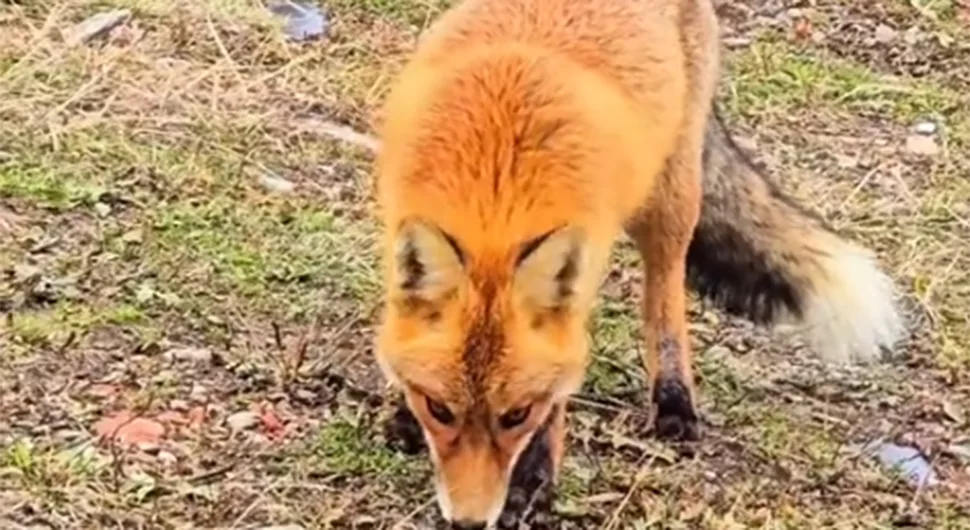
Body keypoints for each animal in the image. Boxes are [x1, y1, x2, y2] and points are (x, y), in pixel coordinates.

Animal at [368, 0, 900, 520]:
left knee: (665, 297)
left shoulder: (580, 280)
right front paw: (406, 414)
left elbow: (558, 393)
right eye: (439, 409)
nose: (469, 520)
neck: (497, 189)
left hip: (671, 200)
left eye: (517, 415)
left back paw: (674, 400)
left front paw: (533, 484)